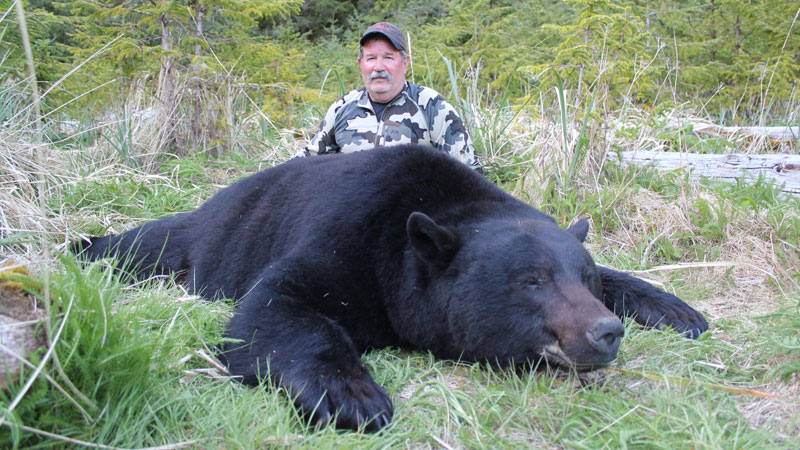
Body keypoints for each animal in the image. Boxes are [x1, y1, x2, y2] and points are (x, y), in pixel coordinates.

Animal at [72, 145, 708, 431]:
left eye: (585, 277)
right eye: (532, 281)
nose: (605, 332)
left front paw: (680, 310)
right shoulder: (347, 234)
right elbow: (271, 307)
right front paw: (354, 396)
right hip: (205, 240)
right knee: (146, 244)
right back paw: (85, 246)